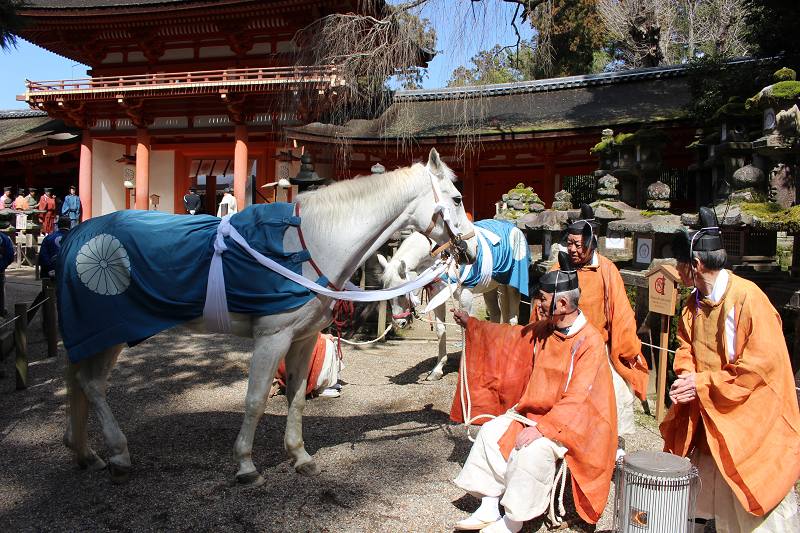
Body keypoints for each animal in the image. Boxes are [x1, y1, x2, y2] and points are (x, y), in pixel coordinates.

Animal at [62, 148, 478, 484]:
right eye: (457, 198)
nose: (471, 248)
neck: (313, 242)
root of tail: (77, 235)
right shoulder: (272, 337)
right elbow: (255, 399)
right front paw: (246, 465)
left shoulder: (303, 338)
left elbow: (296, 398)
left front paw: (300, 456)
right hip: (112, 330)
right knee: (92, 384)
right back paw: (118, 455)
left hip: (96, 333)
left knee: (79, 382)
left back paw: (84, 452)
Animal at [378, 222, 528, 380]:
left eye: (402, 294)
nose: (399, 323)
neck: (442, 260)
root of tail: (514, 227)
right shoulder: (436, 297)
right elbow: (440, 330)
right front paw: (437, 369)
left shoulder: (466, 298)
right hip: (489, 287)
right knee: (495, 314)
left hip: (513, 285)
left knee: (512, 319)